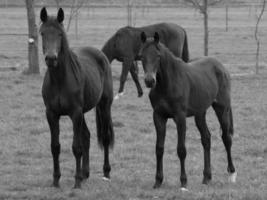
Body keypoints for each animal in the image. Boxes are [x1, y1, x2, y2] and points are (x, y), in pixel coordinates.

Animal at [39, 7, 115, 188]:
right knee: (86, 136)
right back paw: (85, 173)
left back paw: (106, 173)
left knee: (105, 137)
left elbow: (76, 147)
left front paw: (77, 182)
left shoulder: (75, 113)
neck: (60, 80)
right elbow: (55, 147)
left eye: (60, 34)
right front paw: (56, 181)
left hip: (104, 106)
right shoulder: (51, 114)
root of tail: (101, 55)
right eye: (42, 33)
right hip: (83, 113)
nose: (51, 58)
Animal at [139, 32, 238, 190]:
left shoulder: (180, 117)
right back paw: (206, 177)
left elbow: (181, 149)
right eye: (141, 56)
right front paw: (158, 181)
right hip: (200, 113)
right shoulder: (159, 116)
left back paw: (231, 174)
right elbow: (159, 148)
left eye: (158, 56)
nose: (149, 81)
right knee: (206, 138)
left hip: (222, 109)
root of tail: (221, 67)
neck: (167, 85)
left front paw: (183, 182)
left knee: (226, 138)